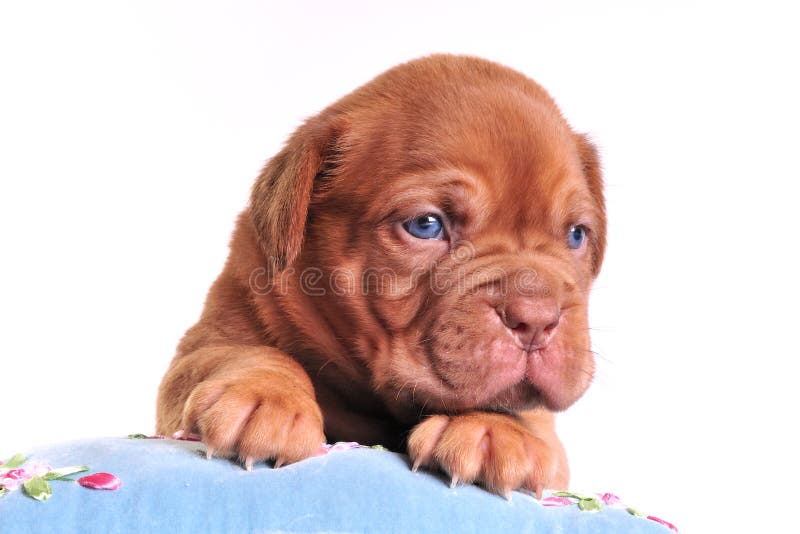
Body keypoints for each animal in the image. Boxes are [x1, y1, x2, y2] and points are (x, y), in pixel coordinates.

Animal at [156, 54, 608, 498]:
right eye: (426, 224)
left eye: (576, 234)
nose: (537, 319)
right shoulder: (203, 345)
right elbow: (240, 353)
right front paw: (265, 396)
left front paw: (494, 427)